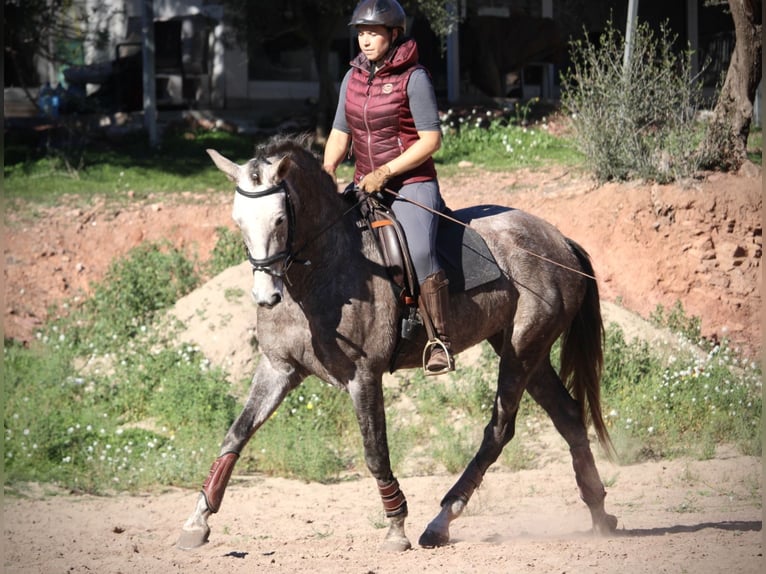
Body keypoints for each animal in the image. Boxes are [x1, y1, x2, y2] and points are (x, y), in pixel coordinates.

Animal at [177, 134, 620, 552]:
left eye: (281, 219)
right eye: (238, 220)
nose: (265, 295)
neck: (319, 273)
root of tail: (558, 240)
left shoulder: (363, 376)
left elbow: (375, 452)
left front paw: (395, 528)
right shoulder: (278, 369)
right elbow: (236, 434)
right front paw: (197, 522)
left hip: (522, 349)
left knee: (499, 430)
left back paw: (441, 521)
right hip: (524, 349)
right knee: (567, 416)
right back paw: (598, 512)